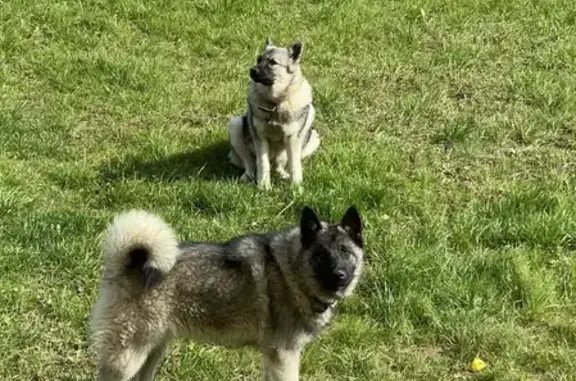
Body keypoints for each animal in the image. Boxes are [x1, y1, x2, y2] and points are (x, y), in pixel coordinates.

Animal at [90, 205, 364, 380]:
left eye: (345, 252)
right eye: (321, 255)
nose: (340, 274)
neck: (291, 269)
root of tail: (129, 263)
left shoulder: (274, 357)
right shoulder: (285, 356)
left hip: (152, 349)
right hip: (127, 357)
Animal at [227, 37, 320, 189]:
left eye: (272, 62)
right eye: (258, 59)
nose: (252, 70)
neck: (275, 103)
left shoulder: (292, 139)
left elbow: (294, 165)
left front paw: (296, 186)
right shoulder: (260, 138)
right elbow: (262, 163)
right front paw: (264, 186)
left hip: (312, 136)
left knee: (279, 165)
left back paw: (283, 174)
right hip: (235, 125)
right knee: (250, 163)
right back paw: (248, 176)